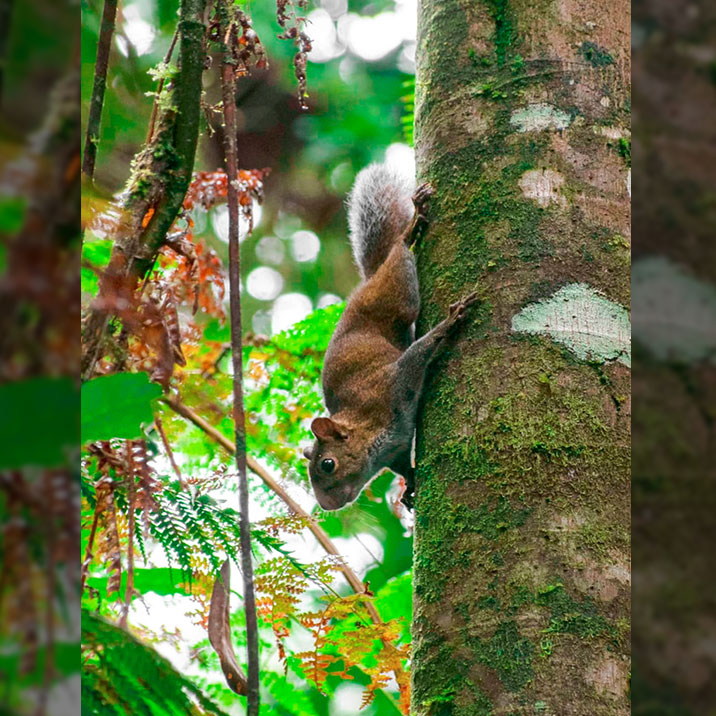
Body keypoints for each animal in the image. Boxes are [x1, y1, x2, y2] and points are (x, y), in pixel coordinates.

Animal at [302, 164, 476, 510]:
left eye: (327, 464)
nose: (327, 505)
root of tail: (371, 278)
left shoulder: (391, 384)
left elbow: (419, 353)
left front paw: (449, 323)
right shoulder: (395, 451)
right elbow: (403, 467)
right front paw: (410, 485)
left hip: (396, 293)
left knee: (400, 252)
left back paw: (410, 228)